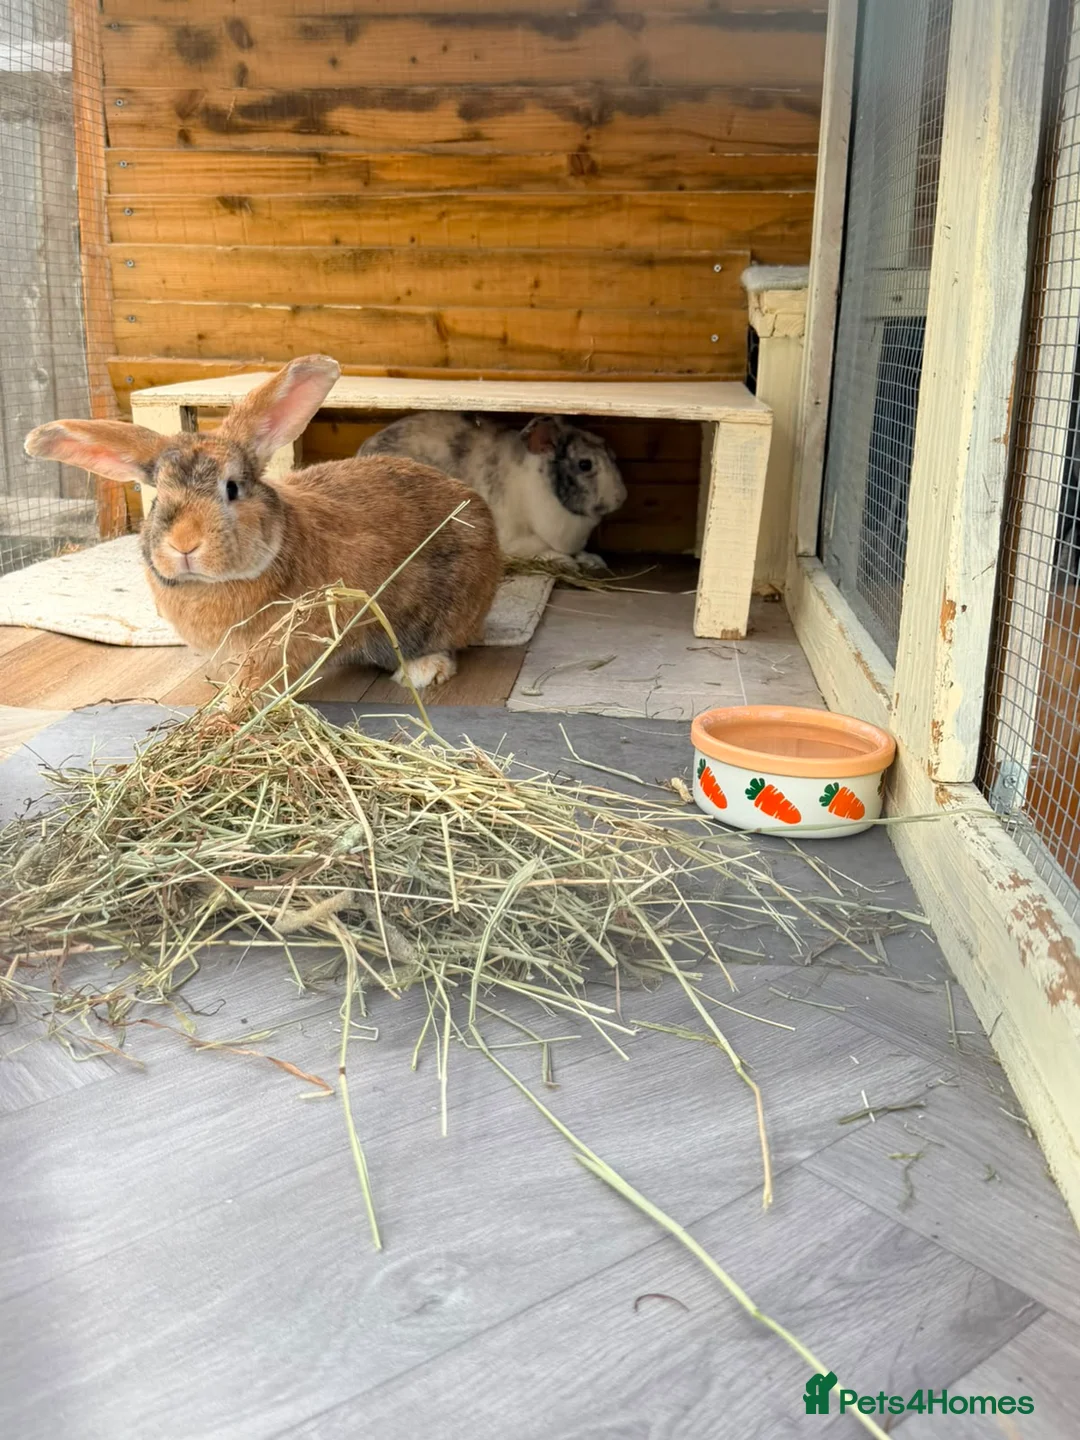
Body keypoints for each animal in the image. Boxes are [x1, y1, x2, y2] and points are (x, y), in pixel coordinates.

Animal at [358, 411, 627, 569]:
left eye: (611, 453)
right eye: (585, 464)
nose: (621, 497)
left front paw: (594, 561)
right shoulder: (516, 541)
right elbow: (543, 550)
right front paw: (566, 562)